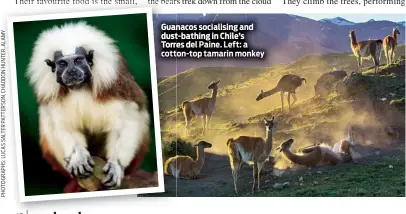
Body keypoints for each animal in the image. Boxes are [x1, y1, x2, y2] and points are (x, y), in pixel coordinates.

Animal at [26, 21, 151, 192]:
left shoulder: (115, 87)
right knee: (48, 122)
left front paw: (116, 165)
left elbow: (125, 122)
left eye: (78, 61)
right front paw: (78, 157)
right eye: (62, 64)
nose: (72, 71)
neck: (79, 87)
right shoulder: (54, 96)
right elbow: (65, 126)